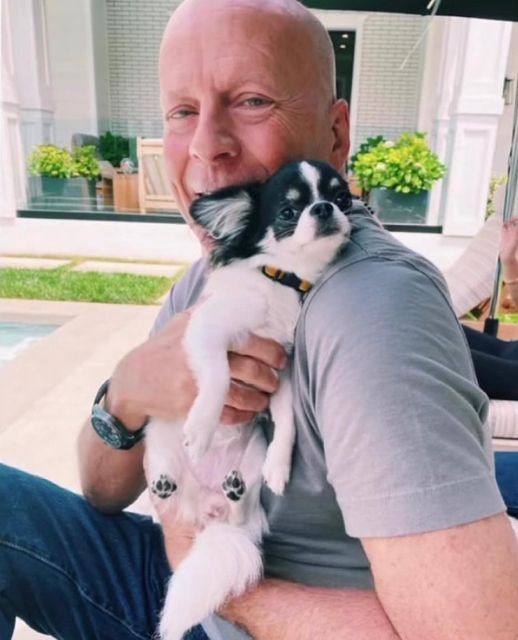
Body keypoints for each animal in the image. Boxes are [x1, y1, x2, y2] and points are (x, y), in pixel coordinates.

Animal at [148, 160, 356, 640]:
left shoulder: (279, 370)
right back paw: (166, 481)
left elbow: (287, 421)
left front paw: (281, 465)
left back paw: (236, 490)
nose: (324, 209)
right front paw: (203, 428)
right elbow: (220, 377)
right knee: (164, 481)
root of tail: (206, 508)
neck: (283, 280)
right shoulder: (210, 332)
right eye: (287, 212)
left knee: (240, 510)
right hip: (156, 435)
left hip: (249, 456)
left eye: (342, 198)